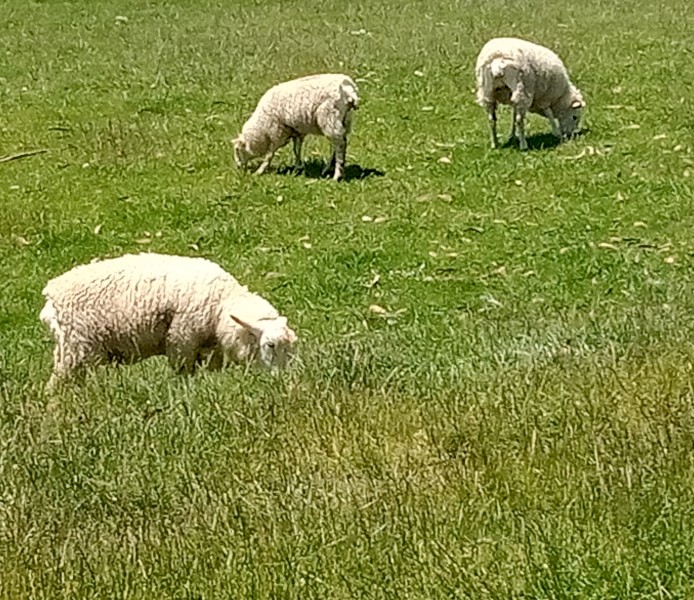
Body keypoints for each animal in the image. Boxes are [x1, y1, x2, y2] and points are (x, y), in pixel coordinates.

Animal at [39, 253, 298, 387]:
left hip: (70, 349)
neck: (221, 304)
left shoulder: (209, 350)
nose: (285, 380)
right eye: (270, 345)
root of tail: (51, 294)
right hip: (77, 348)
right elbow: (183, 373)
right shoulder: (181, 340)